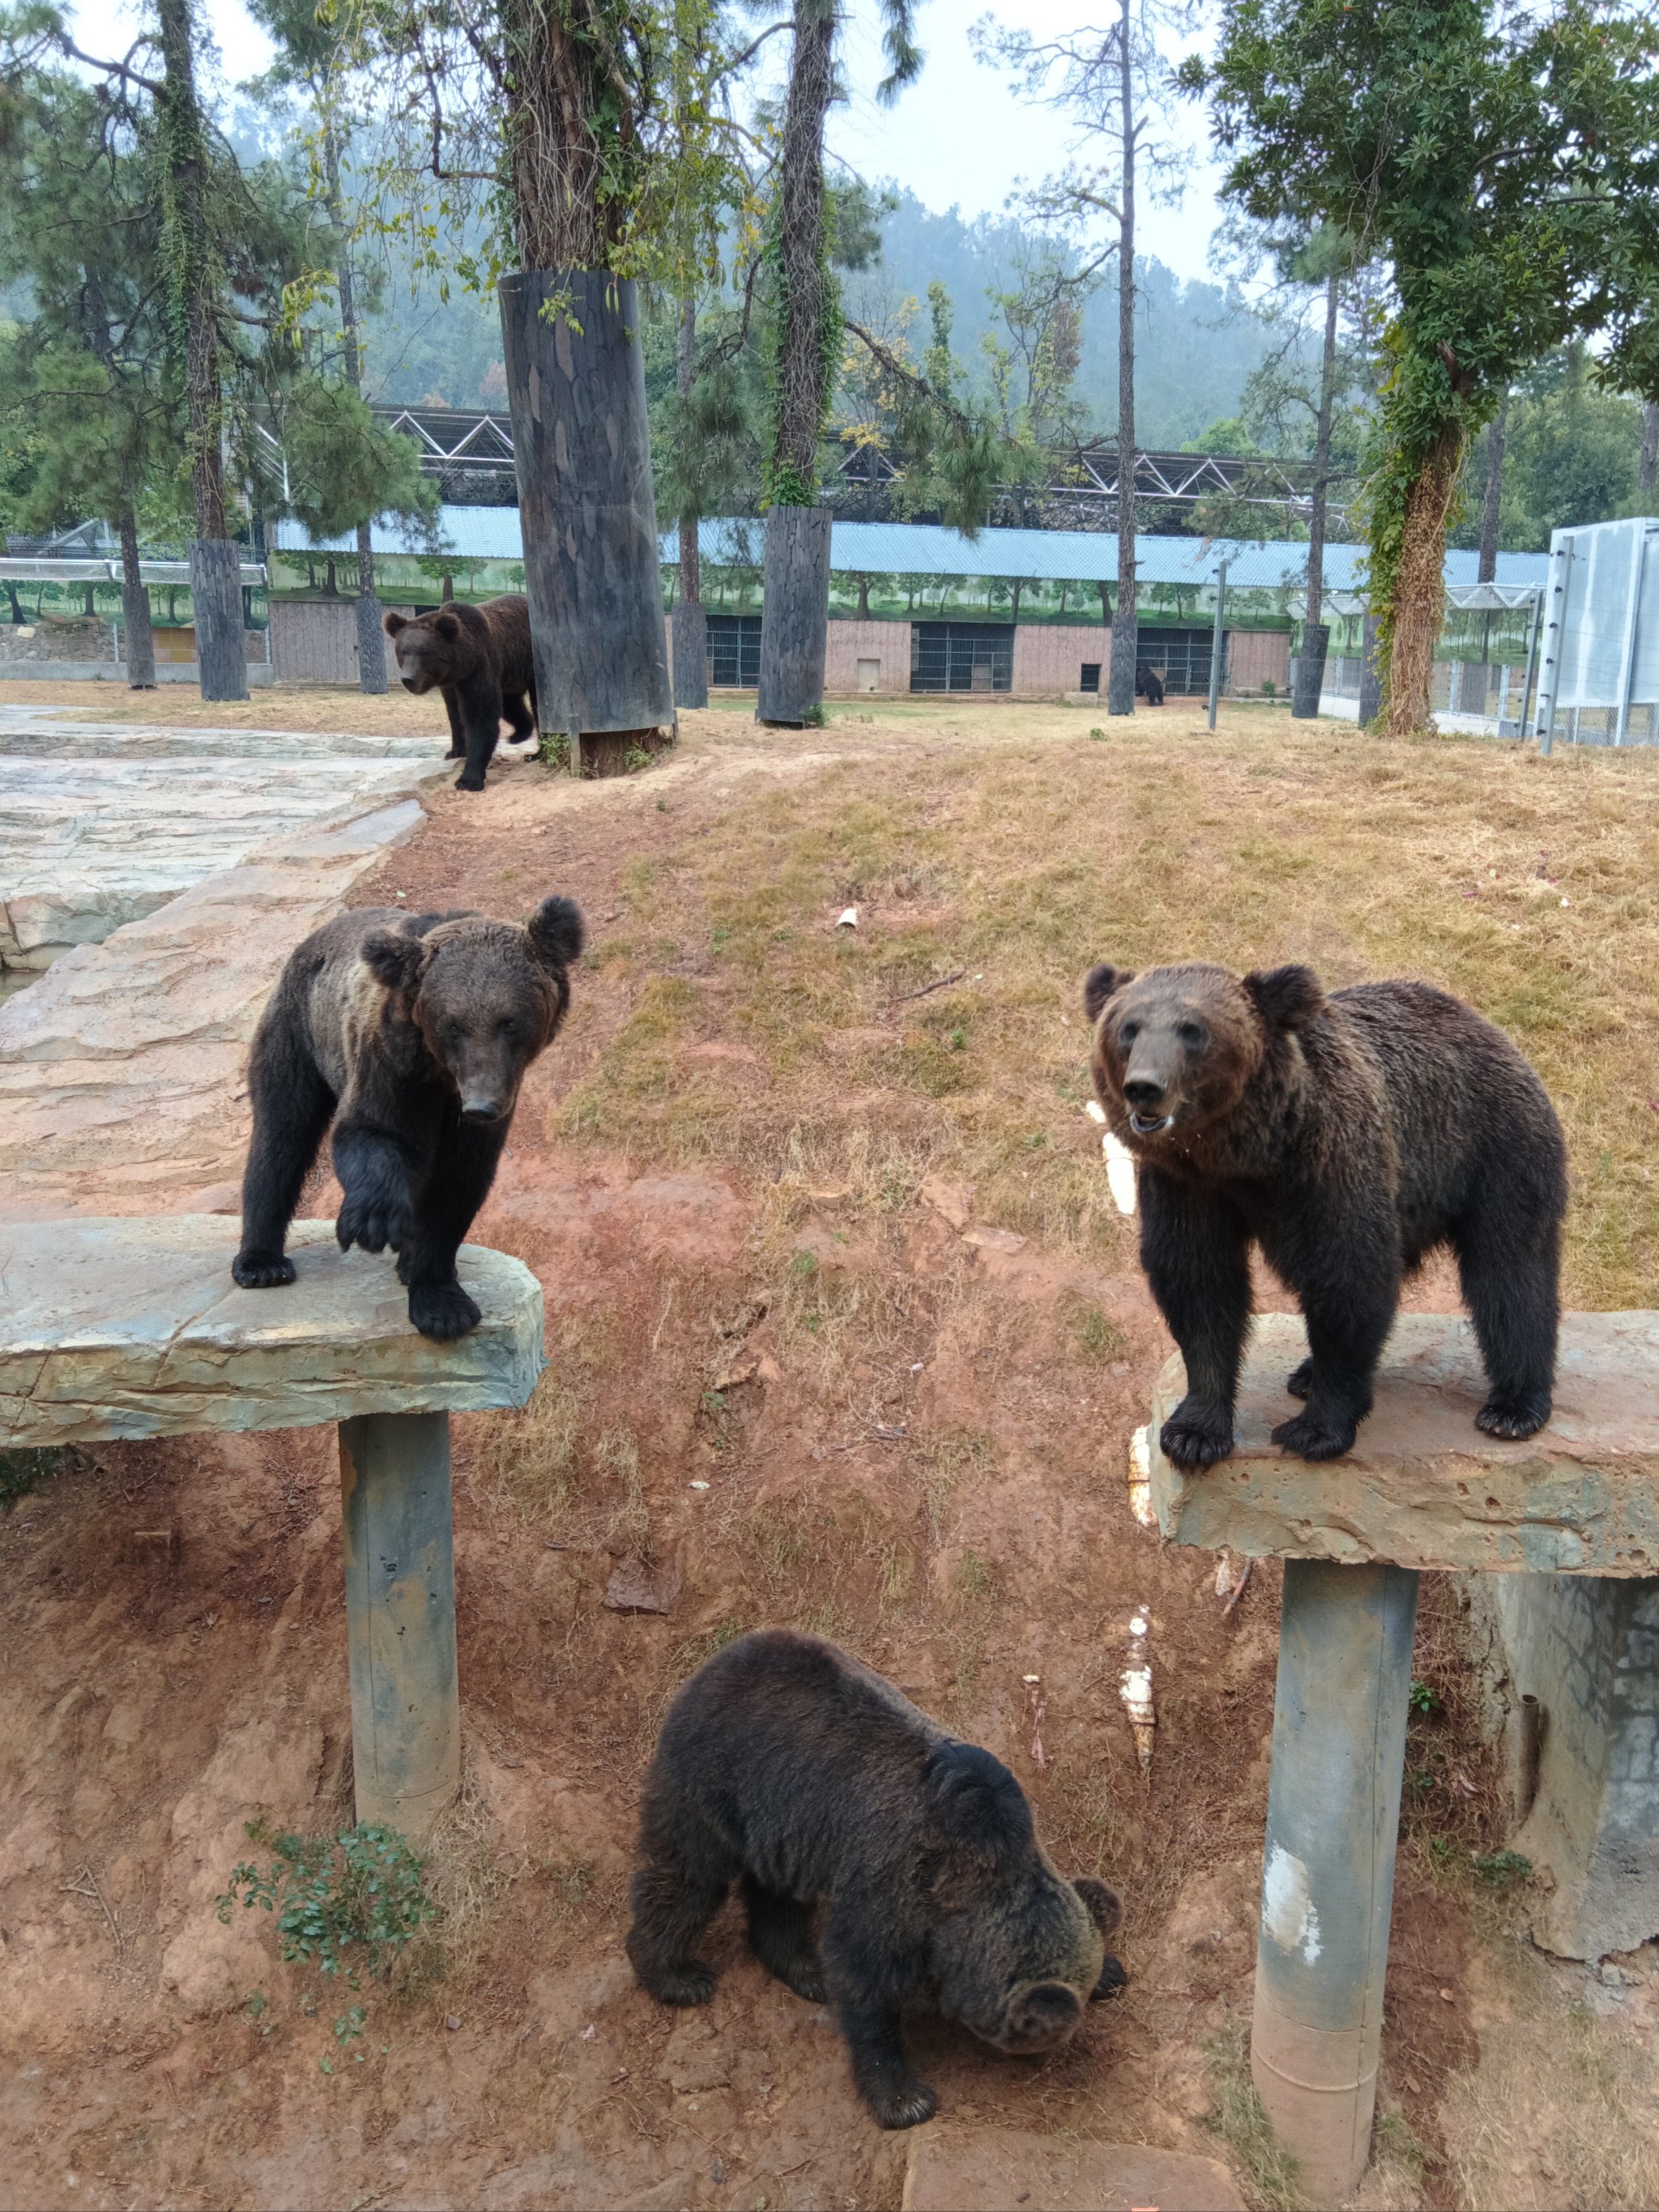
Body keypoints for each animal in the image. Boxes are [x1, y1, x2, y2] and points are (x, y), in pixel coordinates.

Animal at [234, 889, 583, 1336]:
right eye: (454, 1025)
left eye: (510, 1022)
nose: (482, 1105)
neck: (442, 1076)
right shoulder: (390, 1062)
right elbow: (374, 1131)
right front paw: (375, 1223)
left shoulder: (485, 1106)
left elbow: (457, 1182)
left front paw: (441, 1301)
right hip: (298, 1033)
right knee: (282, 1134)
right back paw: (262, 1263)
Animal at [385, 592, 535, 791]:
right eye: (402, 651)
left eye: (425, 652)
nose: (408, 679)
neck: (459, 666)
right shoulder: (450, 685)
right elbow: (455, 714)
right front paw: (455, 750)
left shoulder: (479, 668)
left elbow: (480, 717)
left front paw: (468, 779)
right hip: (510, 671)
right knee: (511, 704)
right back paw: (518, 734)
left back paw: (533, 752)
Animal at [628, 1628, 1132, 2123]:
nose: (1051, 2048)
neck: (962, 1900)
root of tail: (726, 1653)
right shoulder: (895, 1888)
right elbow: (864, 1983)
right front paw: (905, 2099)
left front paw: (1111, 1967)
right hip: (717, 1776)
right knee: (688, 1877)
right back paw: (677, 1975)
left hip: (783, 1824)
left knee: (776, 1893)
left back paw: (803, 1968)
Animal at [1092, 964, 1575, 1468]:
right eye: (1128, 1029)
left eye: (1193, 1030)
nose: (1145, 1088)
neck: (1245, 1155)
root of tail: (1490, 1027)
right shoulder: (1186, 1186)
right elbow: (1198, 1282)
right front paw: (1194, 1433)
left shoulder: (1328, 1162)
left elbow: (1348, 1277)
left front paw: (1315, 1429)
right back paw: (1306, 1373)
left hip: (1495, 1151)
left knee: (1510, 1270)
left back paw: (1514, 1407)